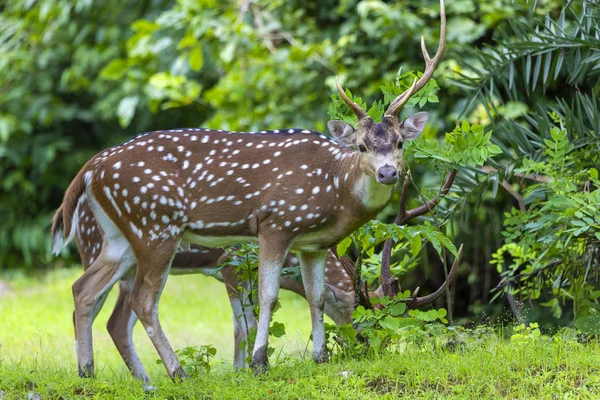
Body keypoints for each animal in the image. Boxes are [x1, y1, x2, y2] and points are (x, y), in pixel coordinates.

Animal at [65, 200, 354, 382]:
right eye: (351, 311)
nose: (356, 341)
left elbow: (243, 324)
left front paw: (240, 370)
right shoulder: (231, 266)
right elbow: (243, 326)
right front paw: (242, 371)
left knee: (112, 319)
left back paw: (139, 378)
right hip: (97, 250)